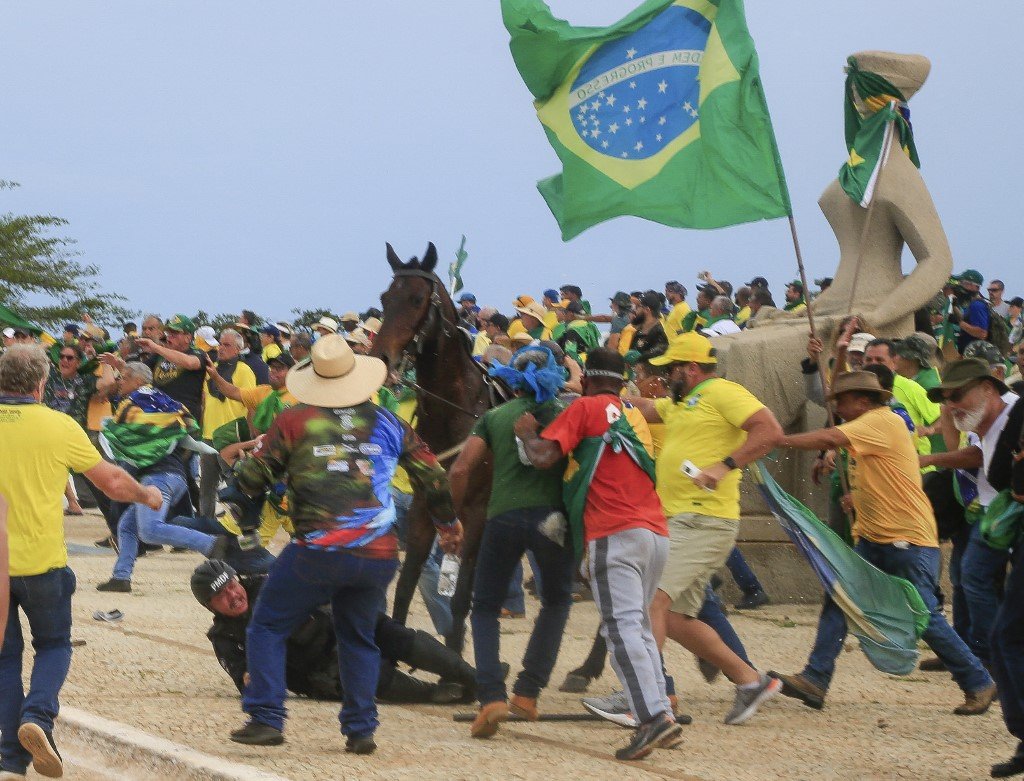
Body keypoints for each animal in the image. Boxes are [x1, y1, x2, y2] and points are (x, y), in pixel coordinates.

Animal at [372, 242, 495, 655]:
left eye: (416, 299)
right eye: (385, 298)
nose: (380, 358)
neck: (455, 410)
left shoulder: (475, 513)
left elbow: (459, 598)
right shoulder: (425, 506)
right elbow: (406, 584)